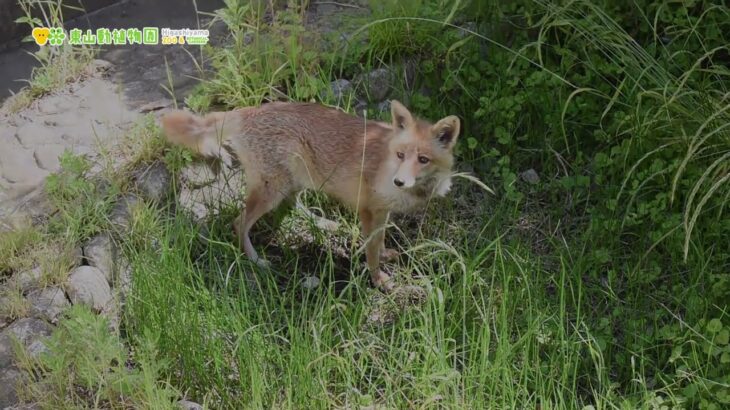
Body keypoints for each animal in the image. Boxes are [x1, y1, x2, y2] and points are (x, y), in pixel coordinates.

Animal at [159, 100, 458, 290]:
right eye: (400, 155)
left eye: (423, 159)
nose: (399, 181)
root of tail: (248, 110)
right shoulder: (368, 209)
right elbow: (371, 250)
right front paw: (378, 281)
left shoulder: (381, 211)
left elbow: (380, 240)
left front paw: (385, 257)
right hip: (273, 189)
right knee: (238, 223)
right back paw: (256, 260)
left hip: (298, 179)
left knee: (294, 204)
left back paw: (324, 224)